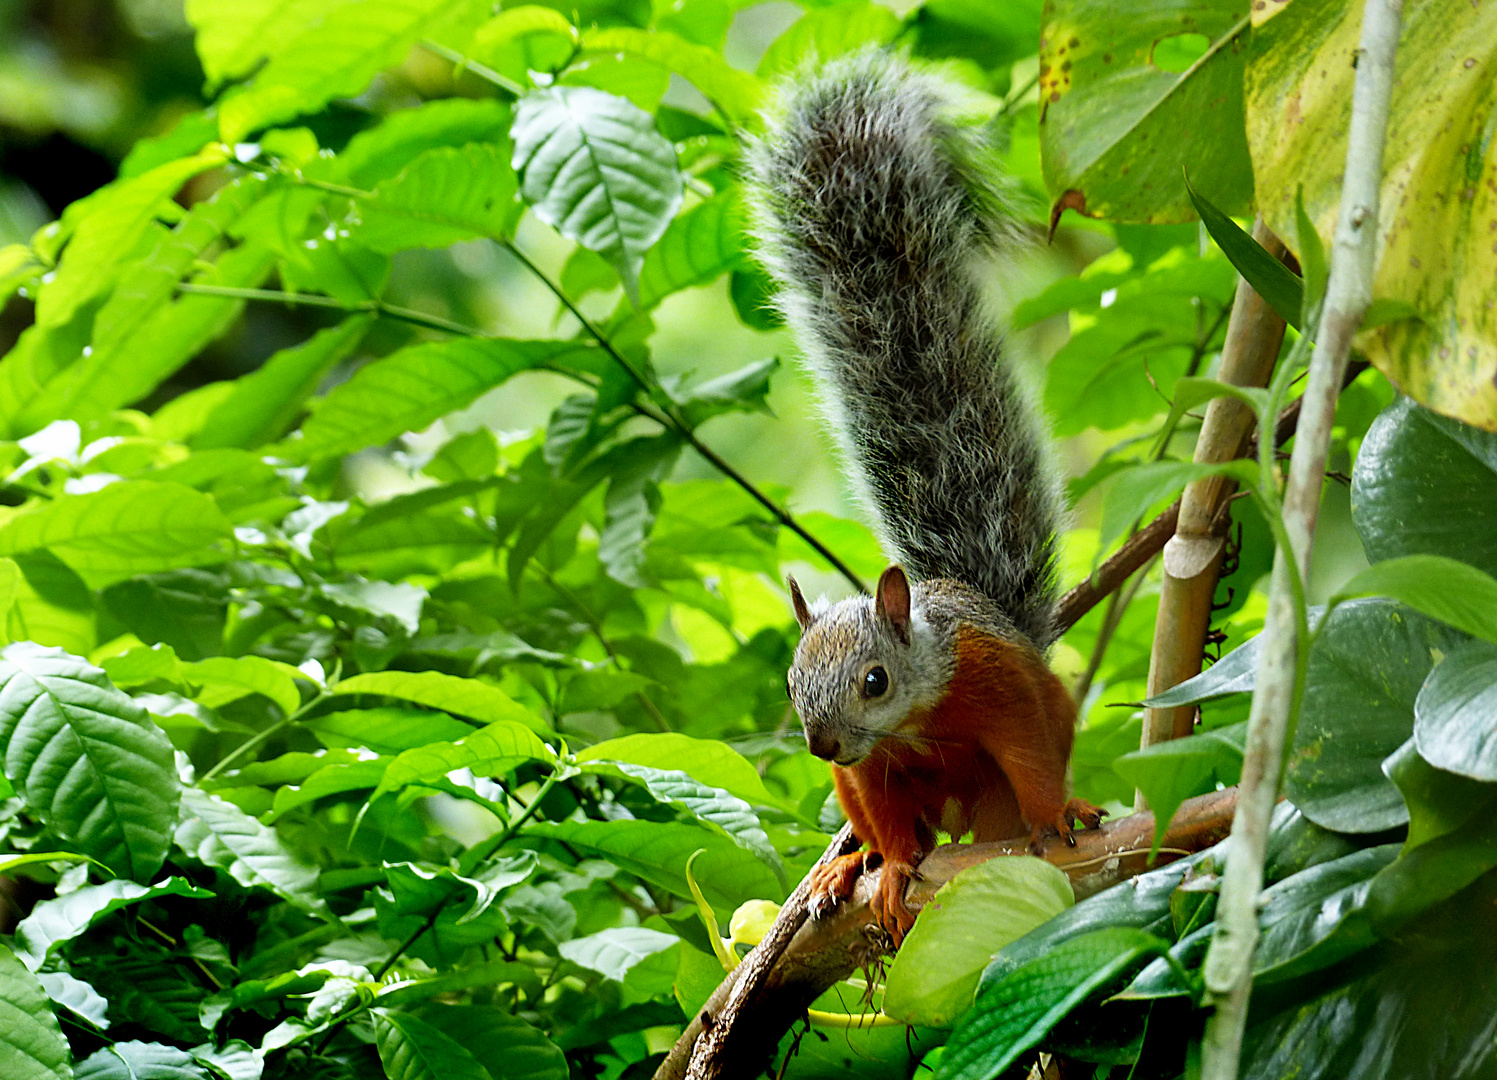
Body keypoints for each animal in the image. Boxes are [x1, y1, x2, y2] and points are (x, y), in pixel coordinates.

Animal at [745, 52, 1101, 946]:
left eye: (874, 680)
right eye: (792, 683)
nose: (822, 743)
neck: (907, 723)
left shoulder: (996, 685)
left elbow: (1030, 755)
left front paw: (1057, 815)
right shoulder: (870, 770)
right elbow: (883, 814)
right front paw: (895, 867)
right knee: (888, 824)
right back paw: (850, 865)